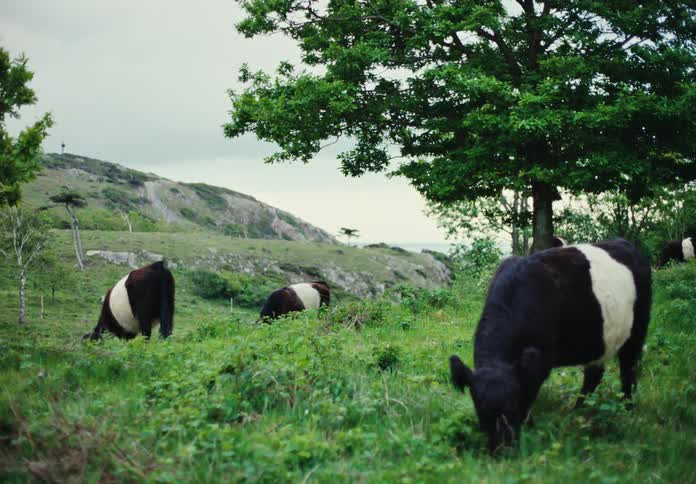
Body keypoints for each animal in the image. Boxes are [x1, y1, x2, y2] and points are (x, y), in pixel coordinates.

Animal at [449, 239, 651, 454]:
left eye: (513, 404)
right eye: (480, 408)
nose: (503, 448)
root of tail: (625, 243)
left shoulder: (541, 361)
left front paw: (529, 427)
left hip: (637, 331)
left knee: (628, 370)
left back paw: (627, 410)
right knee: (594, 374)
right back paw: (577, 411)